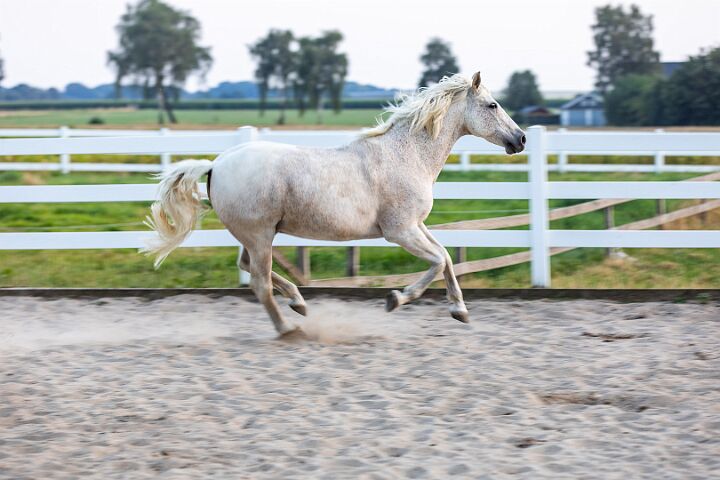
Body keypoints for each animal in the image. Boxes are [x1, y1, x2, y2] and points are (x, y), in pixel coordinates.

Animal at [142, 72, 525, 336]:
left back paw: (298, 303)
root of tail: (215, 165)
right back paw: (288, 328)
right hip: (260, 235)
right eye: (492, 105)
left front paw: (460, 310)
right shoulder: (399, 231)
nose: (520, 139)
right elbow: (437, 261)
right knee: (258, 283)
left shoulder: (416, 225)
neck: (407, 155)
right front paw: (395, 299)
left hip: (257, 236)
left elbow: (445, 257)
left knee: (247, 266)